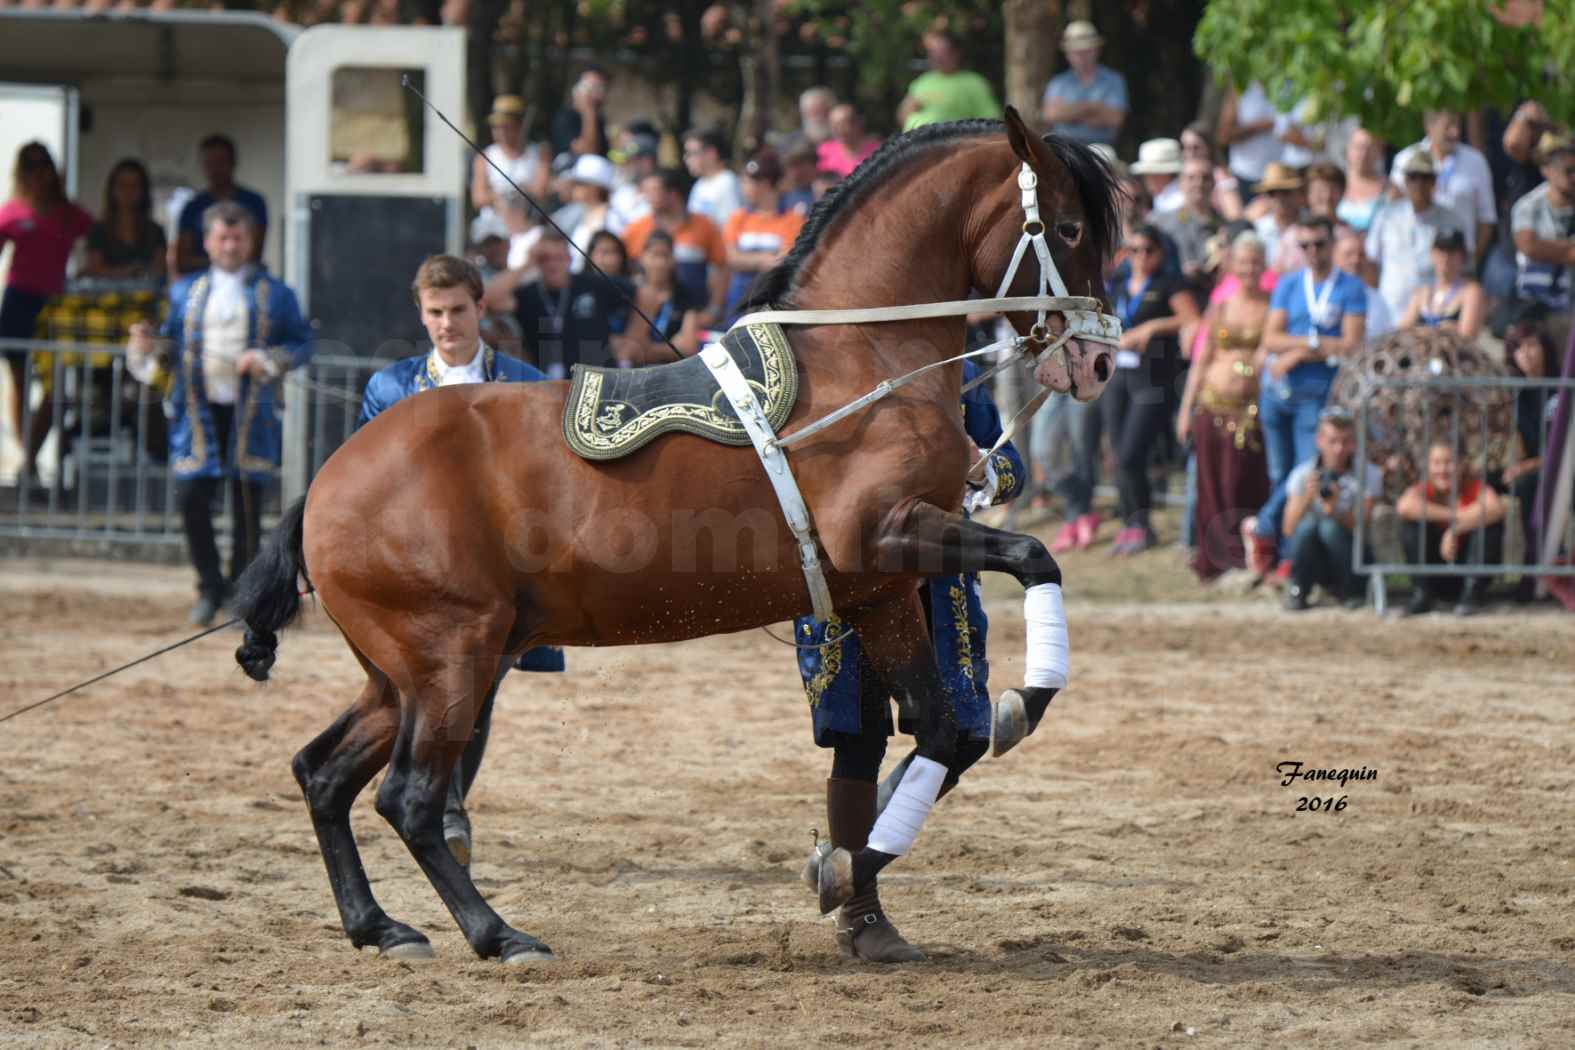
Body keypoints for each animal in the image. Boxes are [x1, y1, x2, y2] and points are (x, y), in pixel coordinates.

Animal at [229, 108, 1121, 969]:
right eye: (1070, 228)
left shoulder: (881, 592)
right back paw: (498, 935)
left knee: (322, 775)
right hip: (452, 657)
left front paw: (845, 864)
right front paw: (1014, 710)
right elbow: (1033, 562)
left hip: (400, 675)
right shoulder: (889, 540)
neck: (859, 360)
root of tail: (332, 476)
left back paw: (378, 925)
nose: (1097, 363)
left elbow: (946, 732)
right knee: (408, 799)